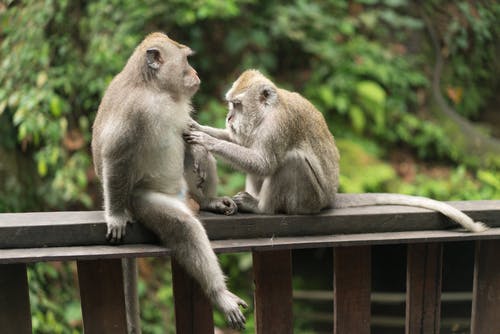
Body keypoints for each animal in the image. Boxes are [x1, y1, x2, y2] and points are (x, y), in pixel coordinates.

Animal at [91, 32, 247, 330]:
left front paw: (196, 149)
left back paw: (208, 200)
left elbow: (188, 134)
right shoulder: (134, 110)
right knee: (184, 228)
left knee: (202, 158)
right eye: (186, 59)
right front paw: (114, 216)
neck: (157, 91)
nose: (195, 73)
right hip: (141, 199)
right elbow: (116, 155)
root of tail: (184, 199)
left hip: (185, 188)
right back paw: (219, 293)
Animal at [184, 69, 488, 232]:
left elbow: (264, 163)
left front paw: (207, 141)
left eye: (236, 105)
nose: (229, 118)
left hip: (309, 200)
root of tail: (329, 198)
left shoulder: (277, 126)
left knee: (292, 162)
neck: (269, 110)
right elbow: (247, 148)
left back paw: (262, 208)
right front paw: (198, 128)